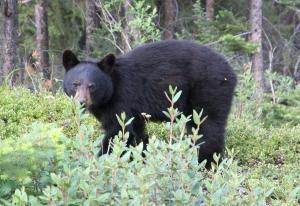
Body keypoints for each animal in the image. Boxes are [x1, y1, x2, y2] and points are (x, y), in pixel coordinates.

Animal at [62, 39, 237, 167]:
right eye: (75, 84)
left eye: (92, 86)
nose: (81, 102)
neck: (112, 86)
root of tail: (231, 71)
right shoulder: (135, 111)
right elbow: (138, 134)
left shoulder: (122, 99)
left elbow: (119, 131)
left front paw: (101, 160)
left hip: (209, 89)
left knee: (208, 128)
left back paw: (206, 163)